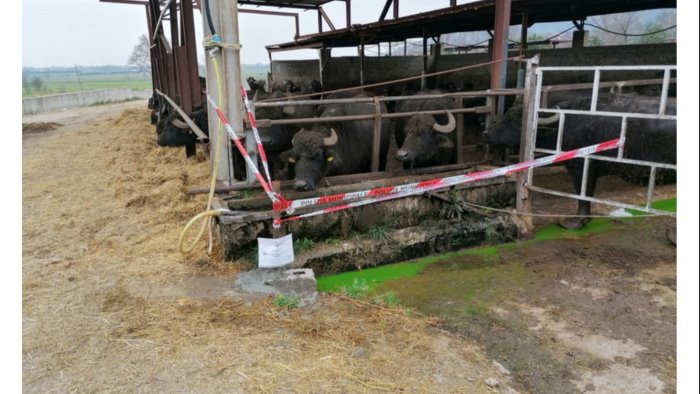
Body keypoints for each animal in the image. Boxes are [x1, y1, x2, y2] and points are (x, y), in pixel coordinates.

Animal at [484, 94, 676, 229]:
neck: (565, 123)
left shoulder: (582, 166)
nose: (486, 133)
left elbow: (583, 193)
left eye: (512, 120)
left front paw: (577, 221)